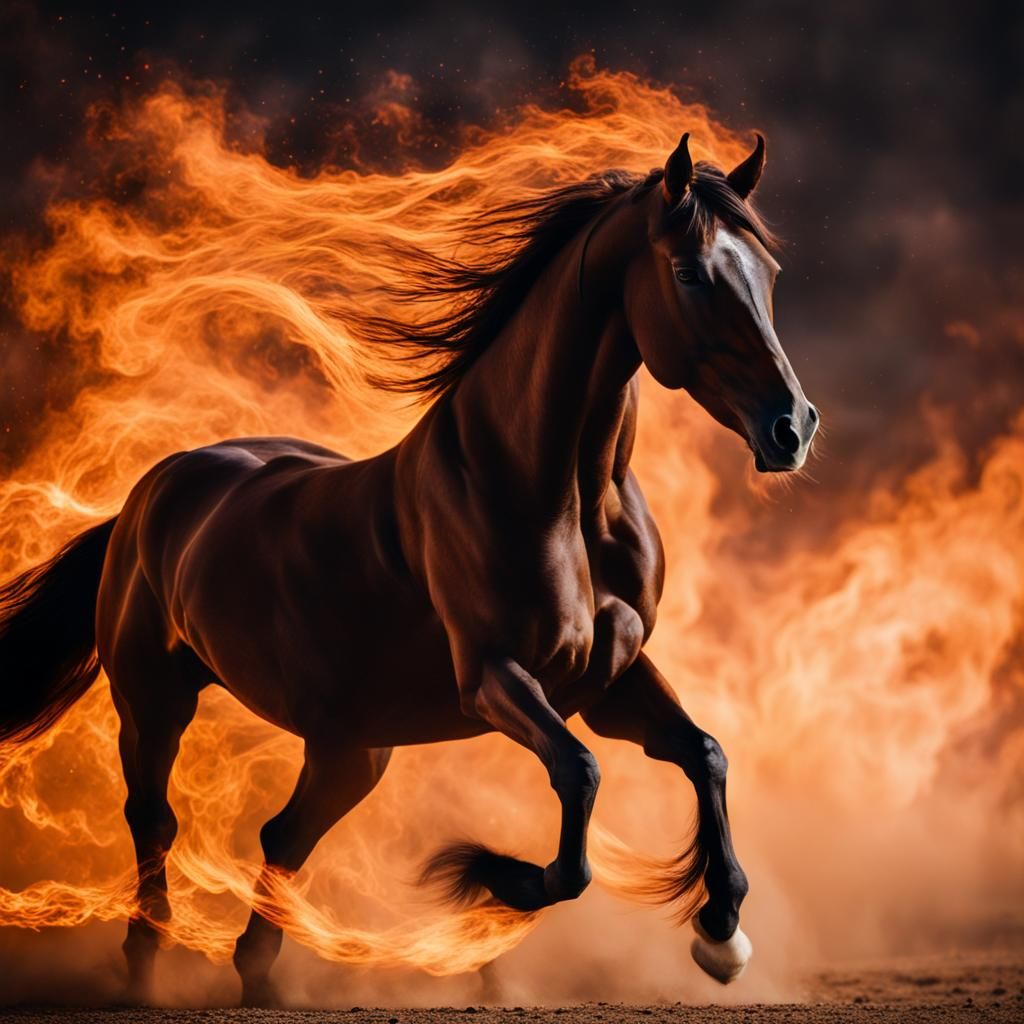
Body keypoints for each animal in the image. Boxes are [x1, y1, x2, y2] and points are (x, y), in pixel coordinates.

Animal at [0, 131, 818, 1005]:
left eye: (768, 272)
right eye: (690, 272)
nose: (791, 428)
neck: (555, 490)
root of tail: (150, 493)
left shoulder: (609, 680)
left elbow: (704, 753)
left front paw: (722, 934)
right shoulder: (494, 678)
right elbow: (580, 780)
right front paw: (492, 879)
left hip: (349, 749)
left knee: (283, 834)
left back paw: (257, 976)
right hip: (154, 699)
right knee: (155, 823)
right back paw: (147, 971)